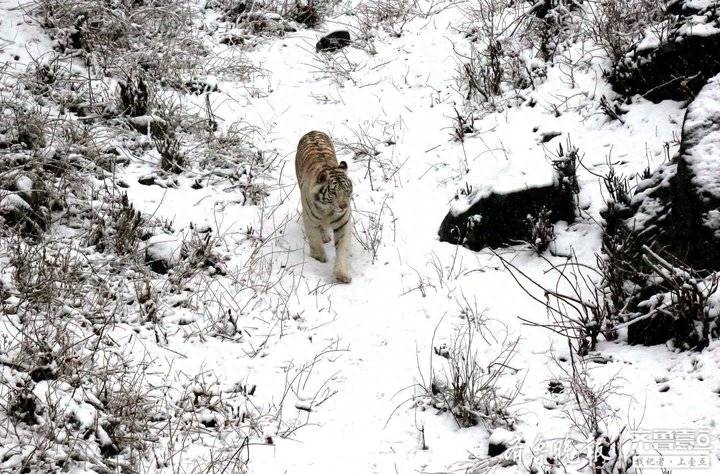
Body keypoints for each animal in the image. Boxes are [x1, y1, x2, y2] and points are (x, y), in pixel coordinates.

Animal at [296, 130, 354, 284]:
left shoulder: (343, 223)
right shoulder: (309, 219)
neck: (328, 211)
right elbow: (314, 239)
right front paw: (319, 258)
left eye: (347, 190)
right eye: (333, 192)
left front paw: (341, 275)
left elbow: (342, 248)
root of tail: (312, 131)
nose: (343, 206)